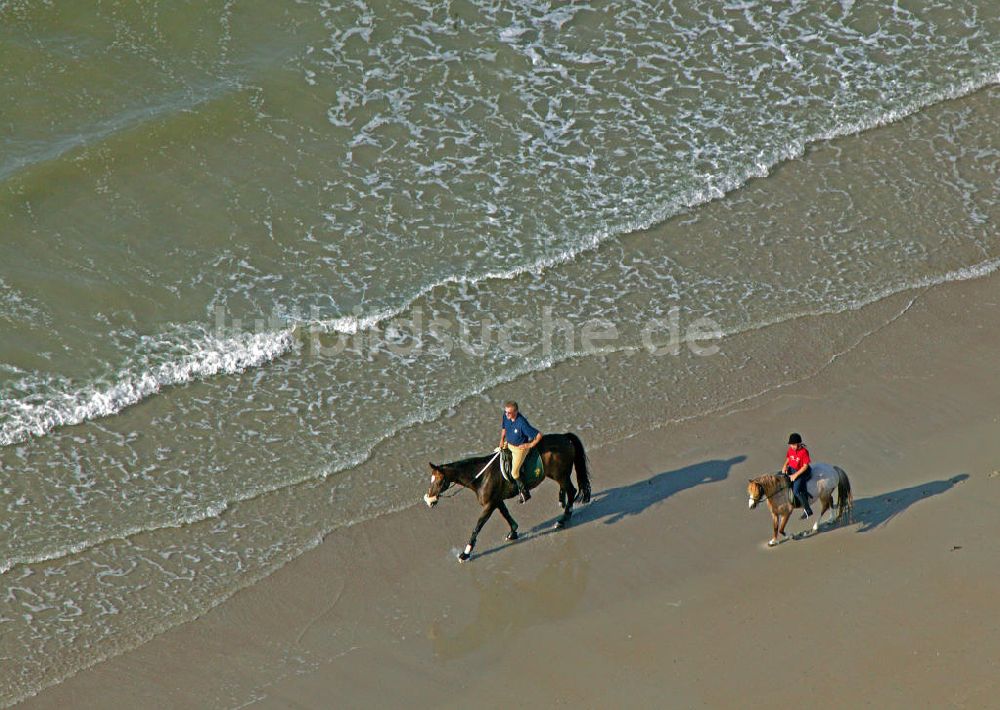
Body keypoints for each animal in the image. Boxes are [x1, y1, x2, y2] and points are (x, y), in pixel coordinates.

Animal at [424, 432, 592, 564]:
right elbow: (506, 514)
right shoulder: (497, 501)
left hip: (560, 475)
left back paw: (563, 519)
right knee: (566, 489)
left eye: (438, 481)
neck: (481, 476)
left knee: (572, 490)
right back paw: (561, 503)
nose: (429, 500)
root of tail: (564, 437)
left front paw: (465, 554)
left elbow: (477, 527)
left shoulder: (489, 505)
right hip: (559, 476)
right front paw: (513, 532)